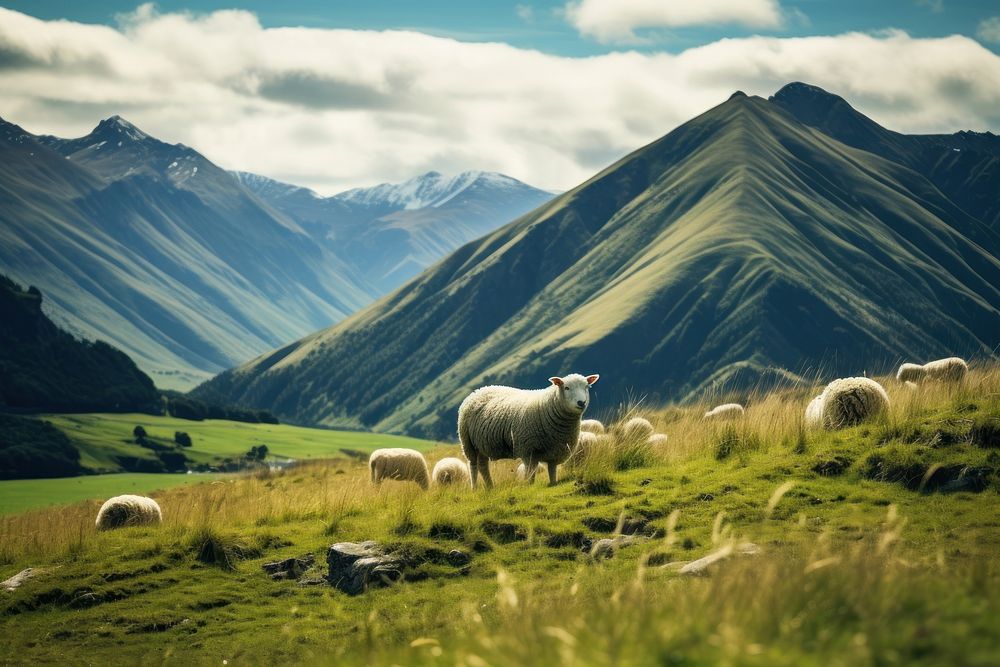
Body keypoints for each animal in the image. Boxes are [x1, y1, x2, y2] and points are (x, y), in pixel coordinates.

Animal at [458, 374, 596, 488]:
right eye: (567, 388)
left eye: (587, 387)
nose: (581, 402)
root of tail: (478, 391)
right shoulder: (527, 450)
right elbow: (530, 473)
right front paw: (529, 486)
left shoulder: (555, 450)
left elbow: (552, 470)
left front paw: (553, 483)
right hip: (468, 442)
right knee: (473, 466)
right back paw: (475, 488)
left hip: (482, 445)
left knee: (483, 466)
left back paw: (490, 487)